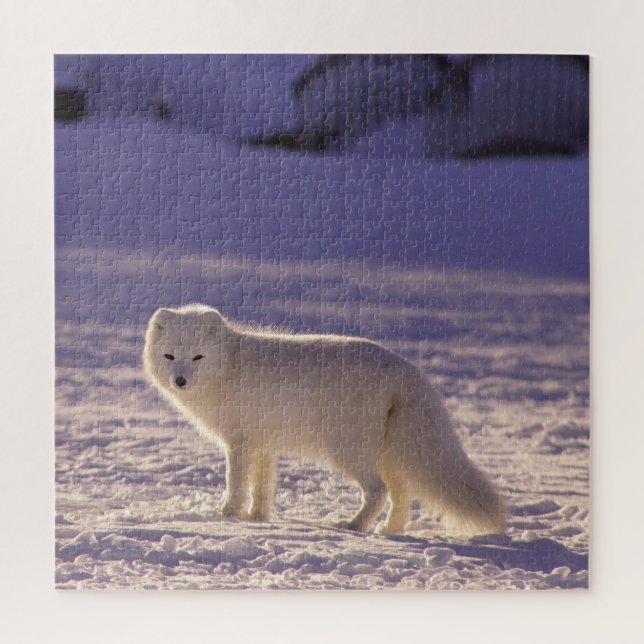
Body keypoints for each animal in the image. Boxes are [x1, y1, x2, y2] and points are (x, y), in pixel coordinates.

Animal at [143, 304, 506, 535]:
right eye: (170, 356)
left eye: (198, 357)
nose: (180, 381)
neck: (230, 366)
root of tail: (407, 370)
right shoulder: (263, 443)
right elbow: (262, 485)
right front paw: (257, 517)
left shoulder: (240, 442)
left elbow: (236, 483)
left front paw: (226, 514)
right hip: (389, 453)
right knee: (401, 494)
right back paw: (389, 530)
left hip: (349, 451)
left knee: (379, 490)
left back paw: (355, 526)